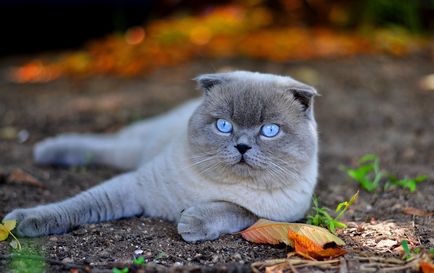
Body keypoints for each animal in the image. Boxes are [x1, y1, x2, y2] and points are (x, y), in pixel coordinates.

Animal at [2, 71, 318, 241]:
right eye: (224, 125)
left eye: (270, 130)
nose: (242, 146)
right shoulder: (133, 187)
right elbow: (76, 205)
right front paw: (20, 223)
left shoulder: (276, 215)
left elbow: (233, 208)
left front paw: (191, 222)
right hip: (131, 150)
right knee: (102, 146)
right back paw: (46, 151)